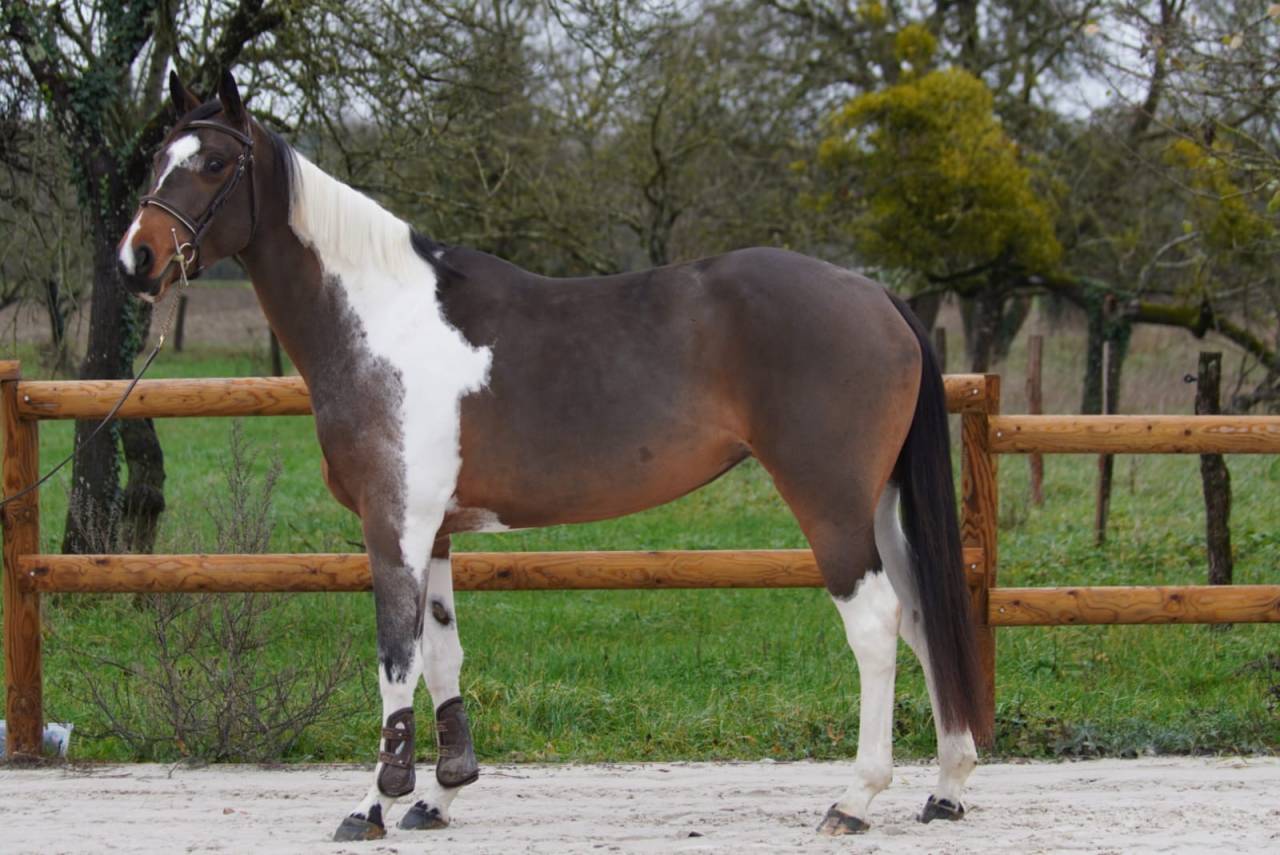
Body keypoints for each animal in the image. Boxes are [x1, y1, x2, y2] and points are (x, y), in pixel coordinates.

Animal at [115, 69, 985, 842]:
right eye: (158, 158)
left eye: (215, 163)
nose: (137, 259)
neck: (382, 319)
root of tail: (876, 294)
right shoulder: (435, 531)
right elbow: (443, 654)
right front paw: (440, 793)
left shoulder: (393, 526)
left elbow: (396, 660)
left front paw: (372, 804)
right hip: (879, 507)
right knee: (920, 617)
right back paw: (945, 784)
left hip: (830, 504)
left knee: (876, 624)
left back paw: (855, 797)